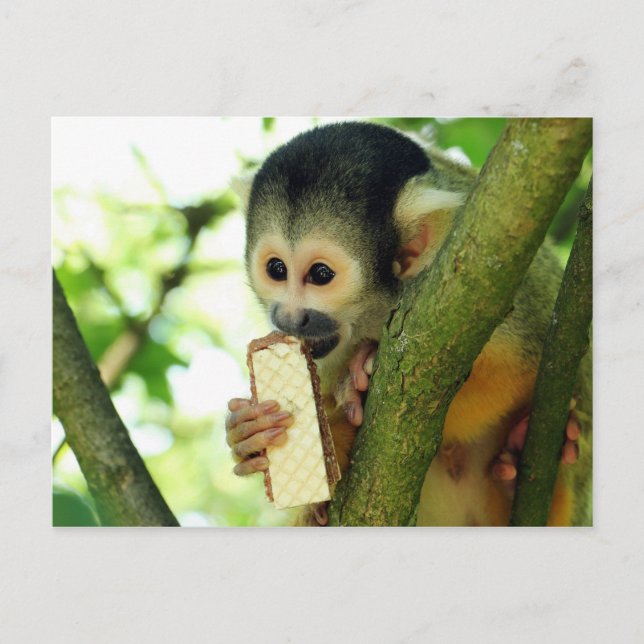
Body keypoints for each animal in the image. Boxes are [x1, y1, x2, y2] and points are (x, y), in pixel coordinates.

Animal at [225, 120, 592, 527]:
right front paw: (248, 435)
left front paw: (354, 393)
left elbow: (517, 369)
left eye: (320, 275)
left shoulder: (488, 281)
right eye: (277, 269)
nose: (288, 318)